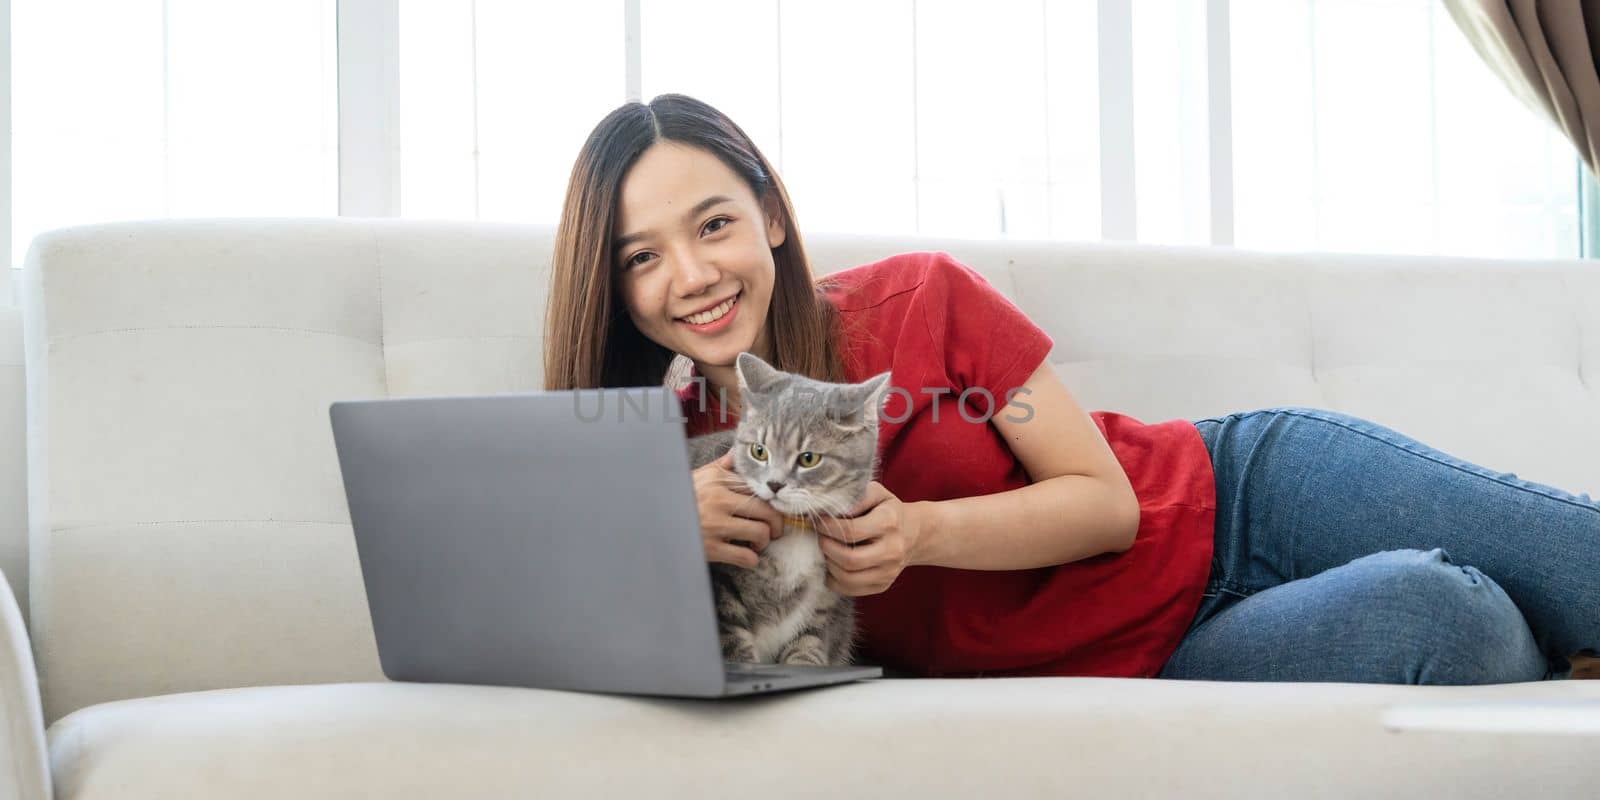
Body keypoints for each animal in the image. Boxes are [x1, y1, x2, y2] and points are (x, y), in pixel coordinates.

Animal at [684, 353, 896, 665]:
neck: (795, 530)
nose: (774, 484)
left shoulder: (822, 606)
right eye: (759, 451)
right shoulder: (721, 594)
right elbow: (735, 649)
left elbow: (807, 650)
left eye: (808, 459)